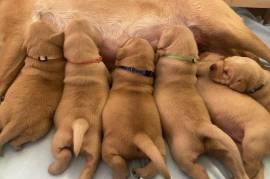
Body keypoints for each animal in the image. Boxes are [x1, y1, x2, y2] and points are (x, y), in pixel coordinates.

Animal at [0, 19, 65, 154]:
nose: (40, 18)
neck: (43, 58)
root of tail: (15, 123)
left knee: (13, 141)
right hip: (39, 129)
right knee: (15, 141)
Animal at [49, 18, 110, 179]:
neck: (81, 59)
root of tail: (78, 123)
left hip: (58, 140)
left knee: (65, 155)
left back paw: (55, 168)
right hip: (94, 147)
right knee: (89, 163)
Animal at [101, 37, 169, 179]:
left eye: (129, 40)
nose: (138, 36)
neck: (137, 70)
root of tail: (139, 135)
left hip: (109, 147)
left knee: (119, 164)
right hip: (158, 145)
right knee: (157, 163)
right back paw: (141, 172)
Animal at [154, 26, 247, 179]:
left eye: (167, 29)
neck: (183, 59)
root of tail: (202, 127)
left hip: (183, 156)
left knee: (198, 171)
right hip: (218, 146)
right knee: (230, 159)